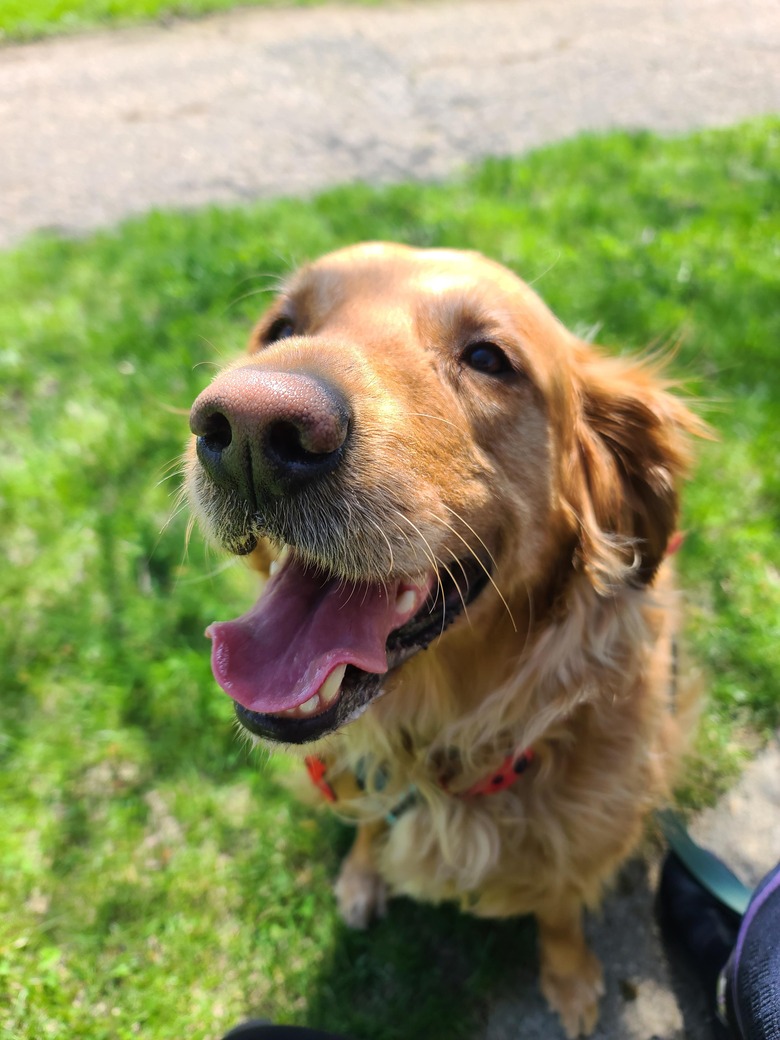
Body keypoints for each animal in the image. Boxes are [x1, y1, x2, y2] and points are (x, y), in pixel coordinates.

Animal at [188, 241, 703, 1031]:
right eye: (280, 328)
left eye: (488, 357)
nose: (247, 427)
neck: (438, 748)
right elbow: (367, 824)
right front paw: (362, 875)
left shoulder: (588, 836)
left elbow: (559, 907)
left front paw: (571, 979)